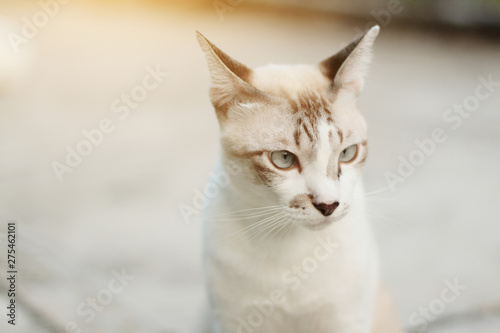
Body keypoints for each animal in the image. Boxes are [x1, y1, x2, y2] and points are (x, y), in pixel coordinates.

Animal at [195, 26, 402, 332]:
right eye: (283, 159)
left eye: (347, 153)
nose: (328, 206)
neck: (291, 250)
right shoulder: (232, 320)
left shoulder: (346, 319)